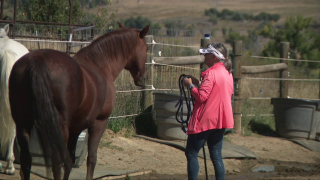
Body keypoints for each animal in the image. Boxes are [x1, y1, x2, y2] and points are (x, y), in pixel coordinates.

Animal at [8, 22, 150, 180]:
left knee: (27, 161)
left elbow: (70, 160)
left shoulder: (75, 129)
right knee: (56, 162)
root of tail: (37, 59)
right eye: (146, 48)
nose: (143, 78)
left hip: (23, 124)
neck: (101, 65)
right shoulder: (99, 122)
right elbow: (91, 159)